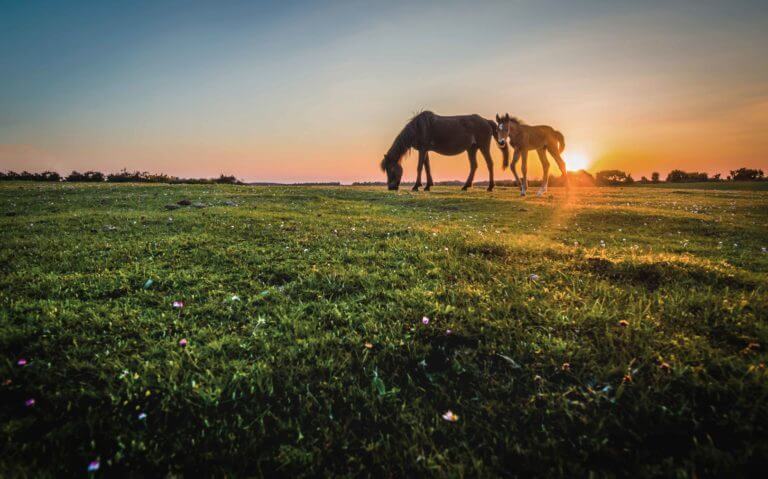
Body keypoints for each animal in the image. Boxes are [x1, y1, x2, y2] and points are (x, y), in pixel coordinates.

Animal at [380, 110, 508, 191]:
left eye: (391, 169)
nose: (391, 188)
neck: (418, 128)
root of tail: (486, 121)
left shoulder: (422, 149)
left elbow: (419, 167)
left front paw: (416, 186)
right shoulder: (425, 150)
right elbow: (427, 167)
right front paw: (427, 186)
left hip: (483, 146)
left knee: (489, 163)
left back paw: (490, 187)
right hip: (472, 149)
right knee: (474, 166)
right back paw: (465, 186)